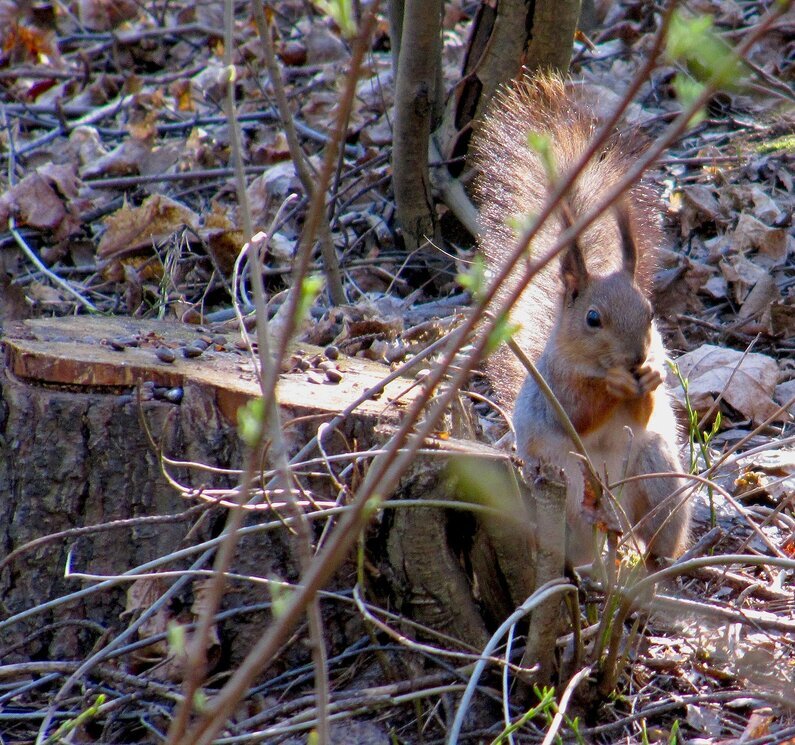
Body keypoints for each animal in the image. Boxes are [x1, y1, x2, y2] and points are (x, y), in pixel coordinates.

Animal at [472, 74, 692, 564]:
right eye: (593, 318)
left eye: (650, 313)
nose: (636, 358)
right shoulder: (557, 388)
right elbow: (580, 415)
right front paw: (614, 385)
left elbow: (642, 414)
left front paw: (650, 378)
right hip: (568, 478)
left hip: (658, 476)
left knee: (655, 532)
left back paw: (657, 561)